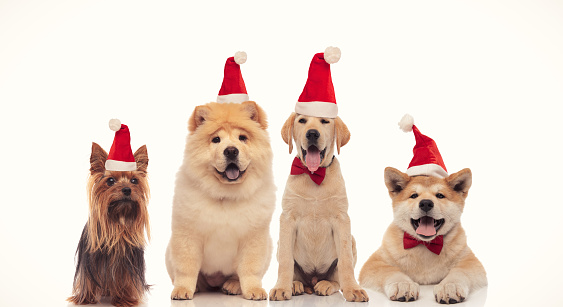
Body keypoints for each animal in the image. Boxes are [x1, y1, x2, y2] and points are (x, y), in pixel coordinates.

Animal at [165, 101, 276, 300]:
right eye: (216, 139)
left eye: (242, 138)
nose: (231, 150)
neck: (226, 195)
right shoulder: (188, 235)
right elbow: (186, 267)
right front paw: (183, 290)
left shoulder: (254, 238)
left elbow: (249, 268)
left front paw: (254, 290)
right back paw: (198, 287)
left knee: (236, 274)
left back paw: (233, 286)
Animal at [270, 113, 370, 304]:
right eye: (302, 121)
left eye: (325, 121)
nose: (312, 134)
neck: (314, 174)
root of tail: (313, 280)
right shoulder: (287, 219)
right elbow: (286, 260)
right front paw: (281, 288)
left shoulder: (342, 220)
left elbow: (345, 261)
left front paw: (353, 289)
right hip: (280, 243)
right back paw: (294, 285)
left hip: (352, 241)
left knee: (336, 279)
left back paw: (326, 285)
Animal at [362, 168, 490, 304]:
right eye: (414, 195)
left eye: (440, 195)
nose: (426, 203)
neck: (425, 245)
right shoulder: (374, 262)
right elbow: (391, 271)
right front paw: (403, 284)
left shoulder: (471, 262)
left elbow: (459, 272)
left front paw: (449, 286)